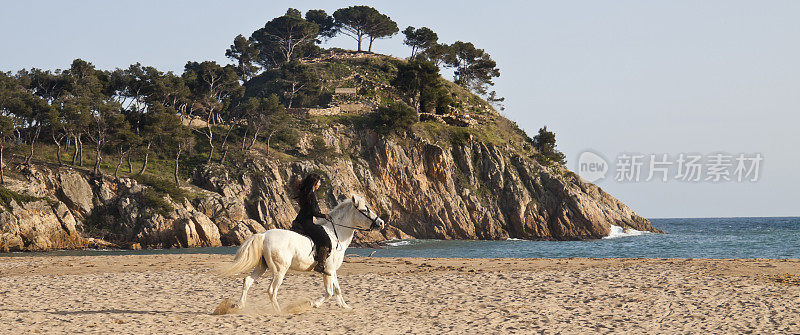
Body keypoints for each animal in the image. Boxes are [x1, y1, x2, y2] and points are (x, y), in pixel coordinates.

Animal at [220, 194, 386, 316]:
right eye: (365, 210)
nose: (381, 223)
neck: (336, 234)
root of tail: (264, 235)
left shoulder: (332, 271)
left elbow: (337, 290)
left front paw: (345, 307)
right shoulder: (328, 270)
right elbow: (329, 292)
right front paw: (313, 304)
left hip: (262, 266)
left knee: (247, 281)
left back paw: (238, 306)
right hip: (280, 270)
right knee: (272, 290)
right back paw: (279, 311)